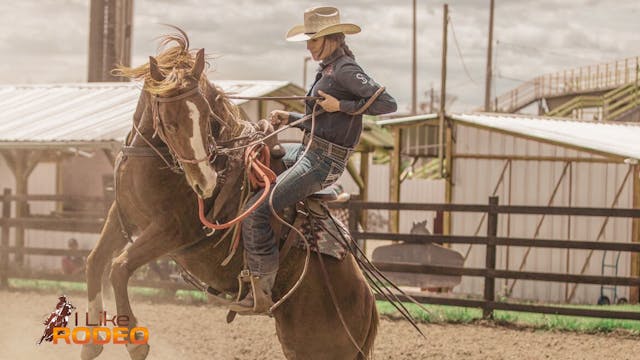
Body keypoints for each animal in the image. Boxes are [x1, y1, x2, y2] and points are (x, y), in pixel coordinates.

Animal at [82, 28, 378, 360]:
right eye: (170, 123)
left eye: (206, 117)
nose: (206, 182)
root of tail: (367, 305)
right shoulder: (123, 217)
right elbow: (95, 261)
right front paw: (91, 342)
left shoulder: (172, 231)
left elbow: (119, 268)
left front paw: (136, 341)